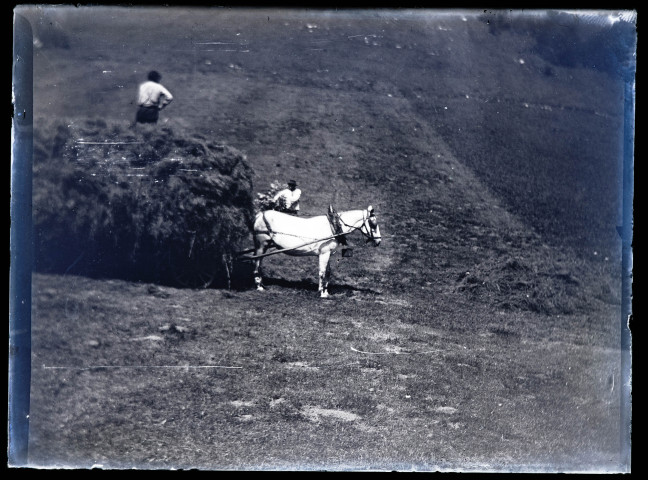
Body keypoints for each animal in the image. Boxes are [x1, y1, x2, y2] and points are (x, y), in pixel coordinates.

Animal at [252, 205, 380, 296]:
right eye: (373, 224)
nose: (378, 241)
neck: (333, 227)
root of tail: (260, 215)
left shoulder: (328, 253)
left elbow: (328, 272)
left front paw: (325, 291)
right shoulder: (324, 253)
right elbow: (322, 271)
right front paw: (322, 293)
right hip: (261, 246)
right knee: (257, 263)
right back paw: (259, 286)